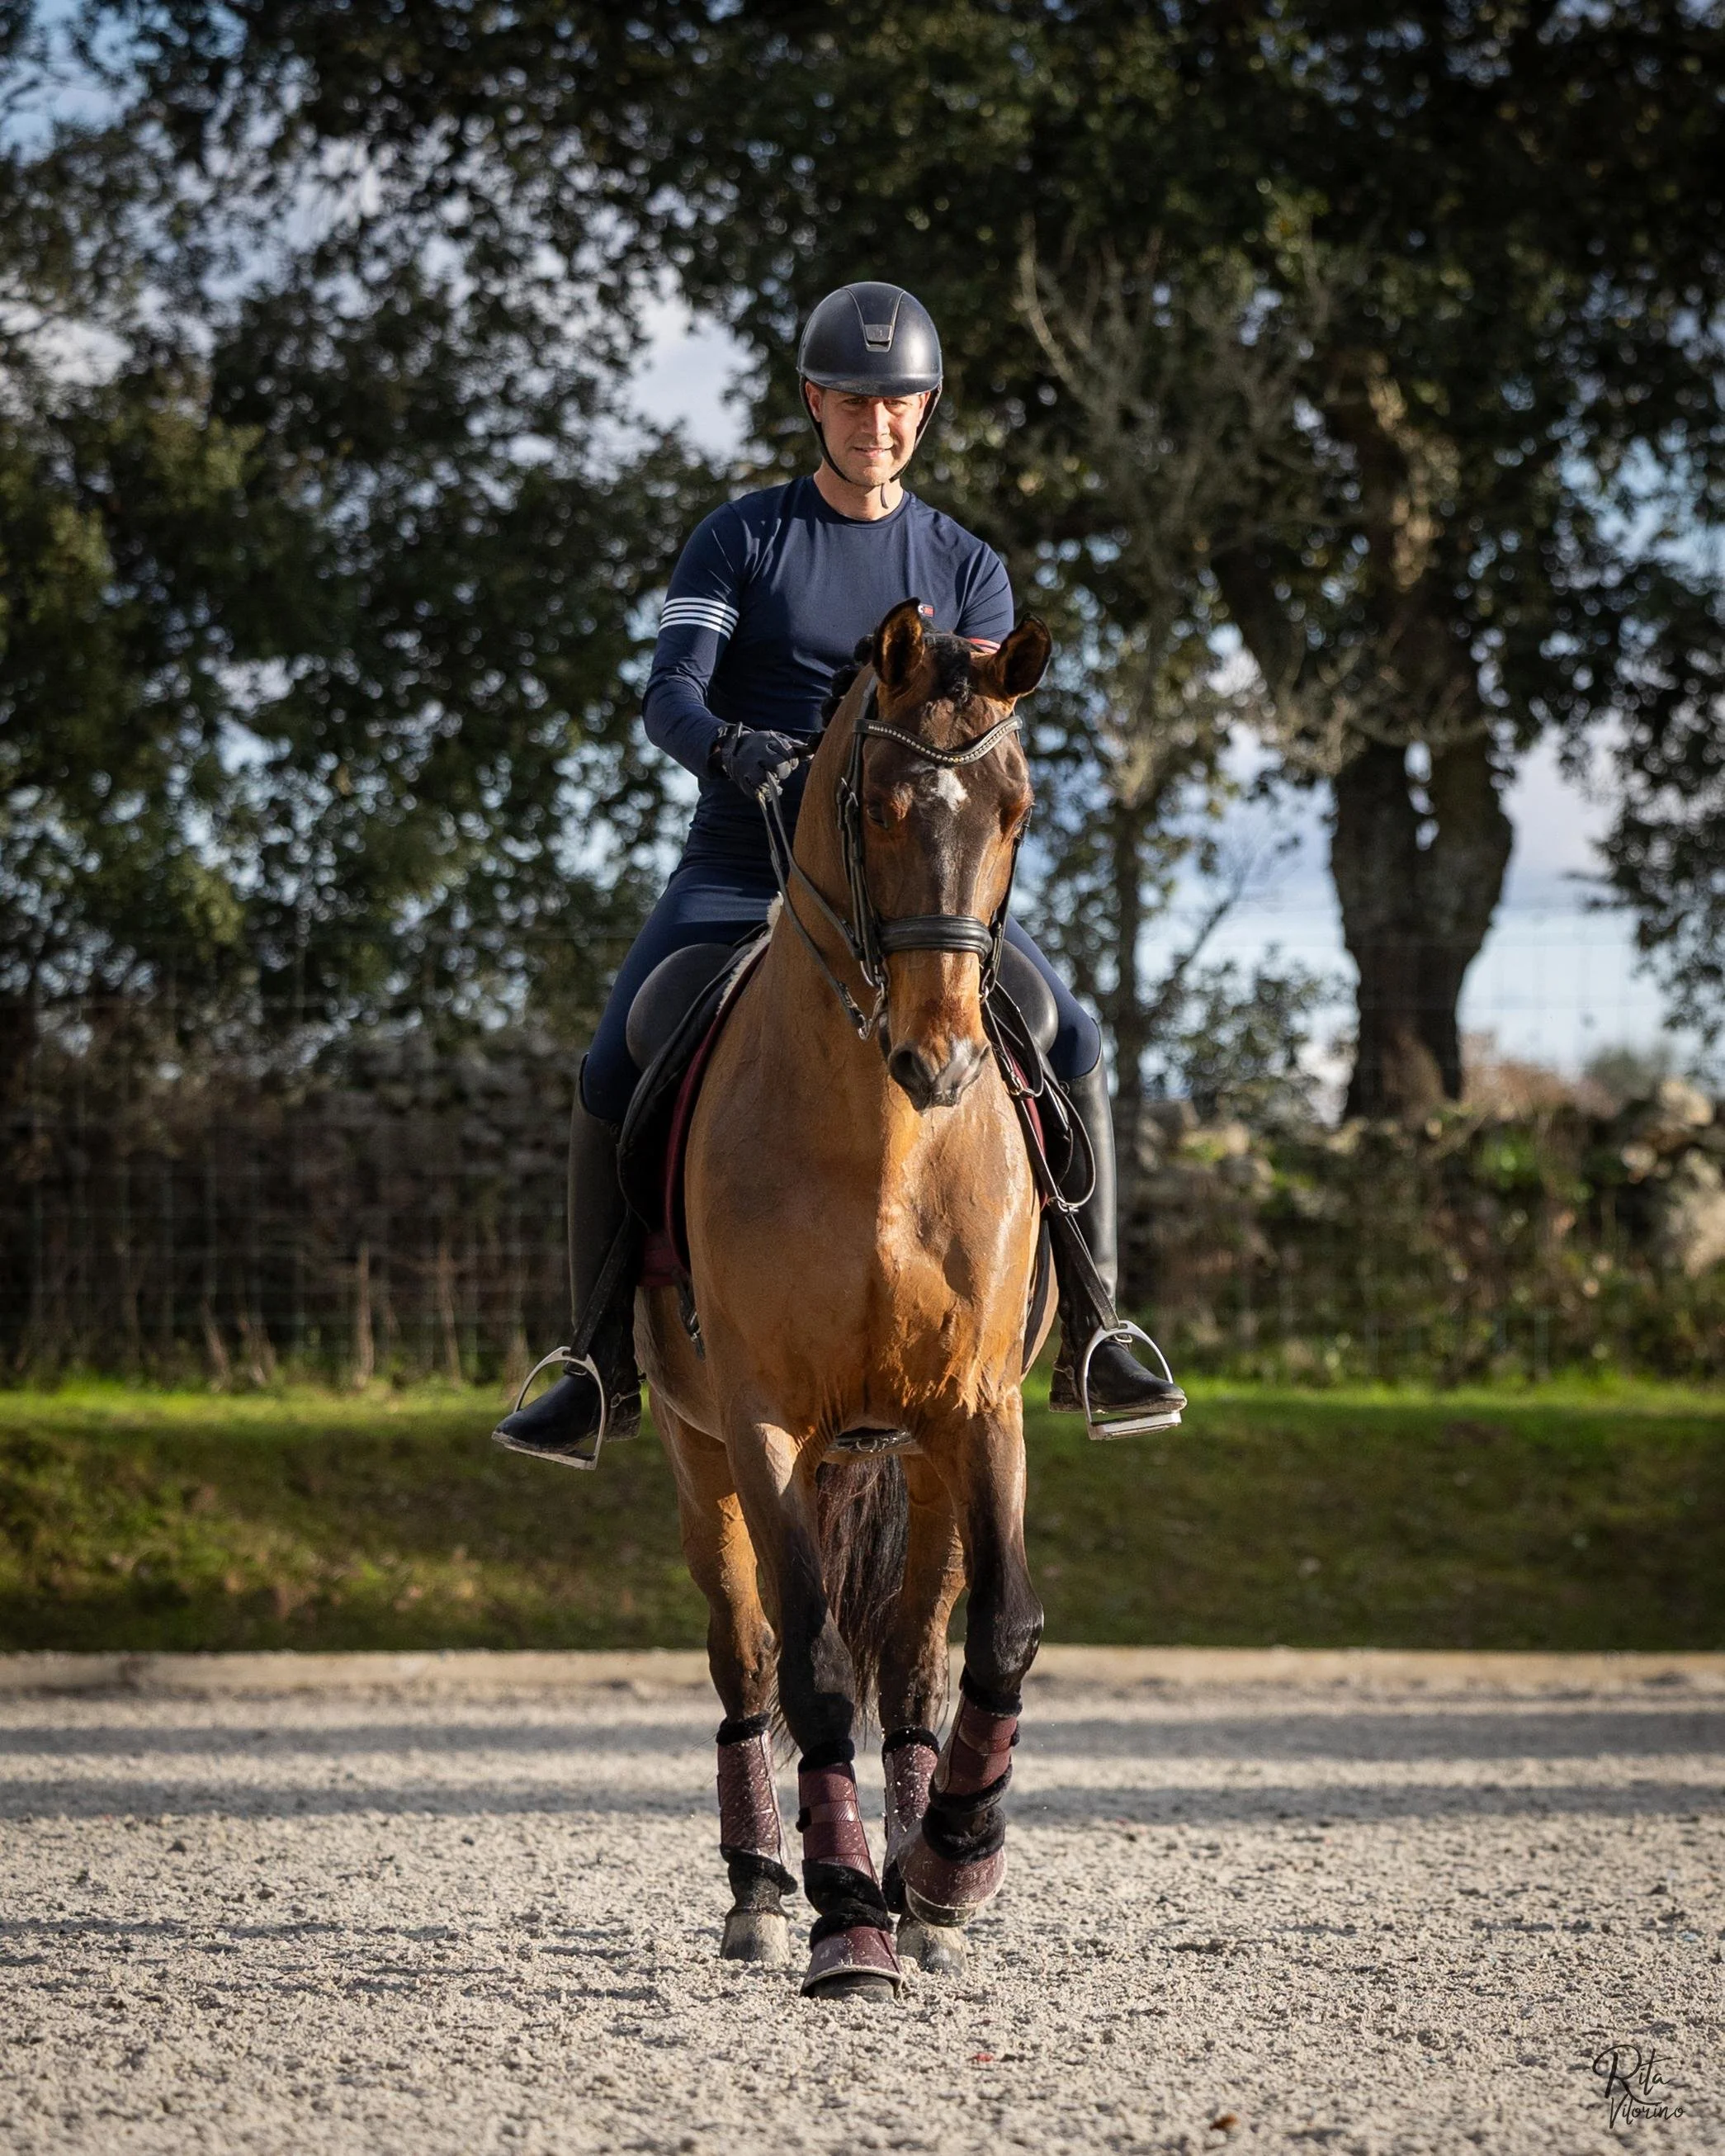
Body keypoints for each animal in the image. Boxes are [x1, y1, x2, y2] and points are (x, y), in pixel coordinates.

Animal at [638, 597, 1056, 2001]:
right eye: (873, 803)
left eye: (1014, 807)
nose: (944, 1060)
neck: (881, 1135)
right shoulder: (763, 1421)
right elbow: (812, 1664)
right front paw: (844, 1925)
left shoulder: (979, 1410)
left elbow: (1001, 1633)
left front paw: (946, 1873)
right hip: (697, 1451)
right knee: (746, 1658)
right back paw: (763, 1893)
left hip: (915, 1456)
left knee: (919, 1660)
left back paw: (924, 1877)